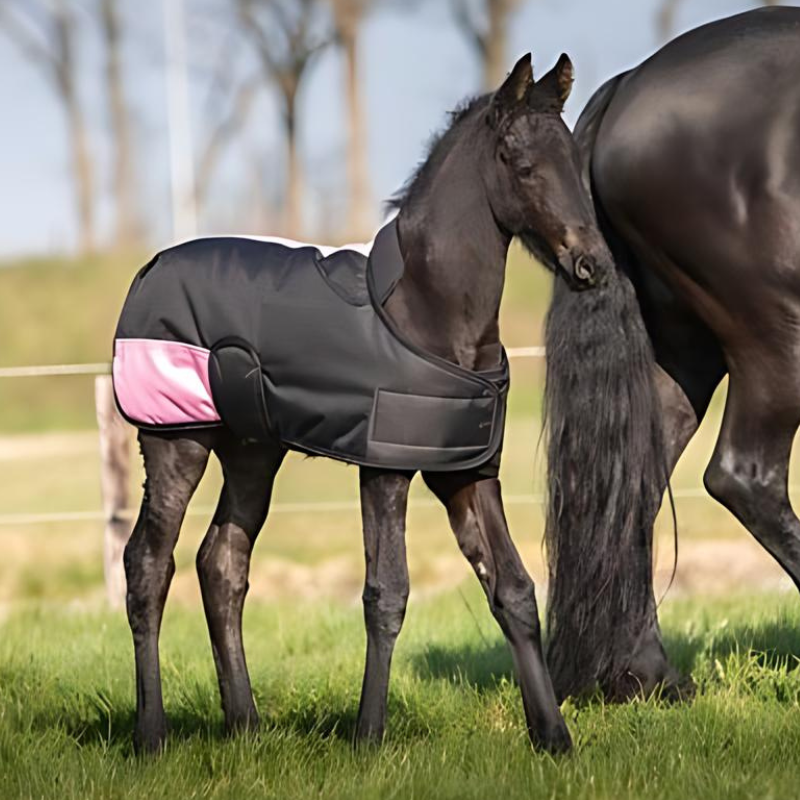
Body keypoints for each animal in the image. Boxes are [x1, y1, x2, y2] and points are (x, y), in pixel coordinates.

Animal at [116, 53, 612, 755]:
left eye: (573, 160)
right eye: (522, 166)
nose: (592, 265)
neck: (430, 311)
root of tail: (148, 269)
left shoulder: (466, 471)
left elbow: (514, 590)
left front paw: (554, 737)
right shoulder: (385, 468)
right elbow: (388, 593)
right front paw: (369, 736)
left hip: (252, 453)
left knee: (221, 563)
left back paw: (246, 726)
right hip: (175, 441)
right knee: (148, 565)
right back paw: (151, 736)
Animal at [543, 6, 800, 701]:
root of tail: (632, 85)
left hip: (682, 354)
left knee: (633, 488)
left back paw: (645, 675)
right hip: (775, 335)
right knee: (744, 477)